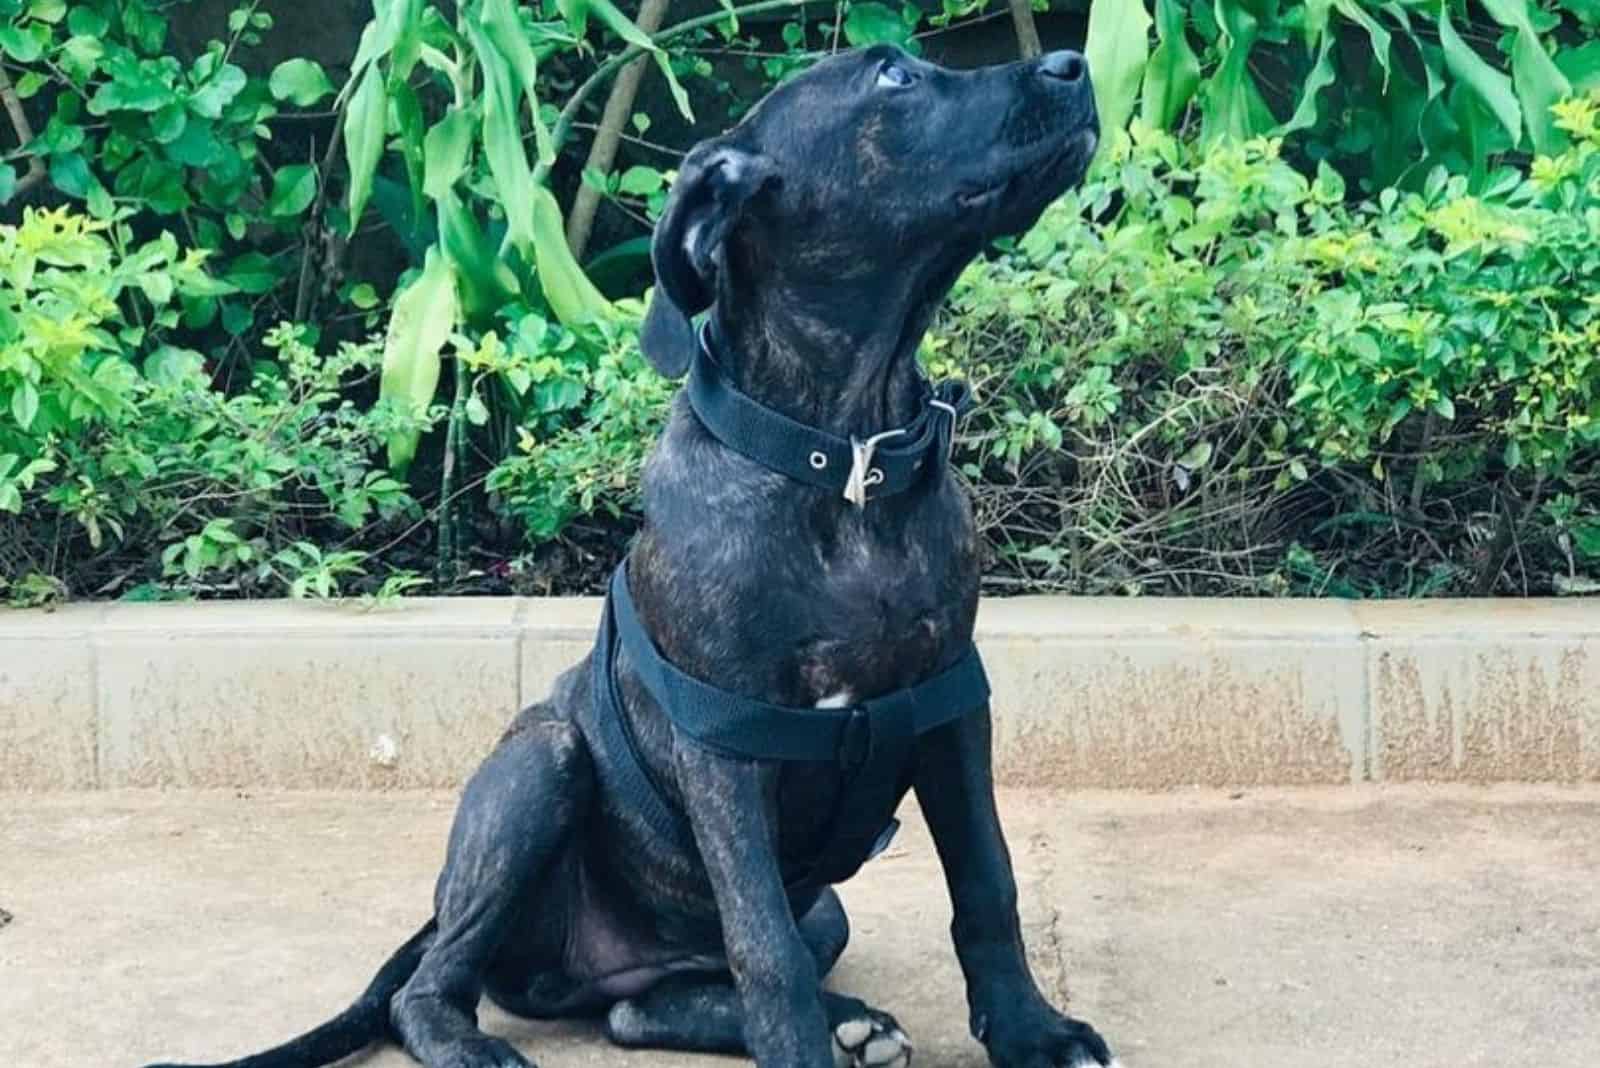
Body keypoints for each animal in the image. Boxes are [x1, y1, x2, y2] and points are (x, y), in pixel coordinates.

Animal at [150, 41, 1113, 1068]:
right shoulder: (726, 745)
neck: (844, 459)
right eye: (892, 78)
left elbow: (986, 881)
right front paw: (808, 1048)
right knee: (434, 983)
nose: (1072, 62)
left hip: (818, 912)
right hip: (537, 768)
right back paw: (474, 1041)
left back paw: (835, 1021)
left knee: (641, 1008)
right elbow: (762, 941)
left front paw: (1033, 1032)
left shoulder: (947, 703)